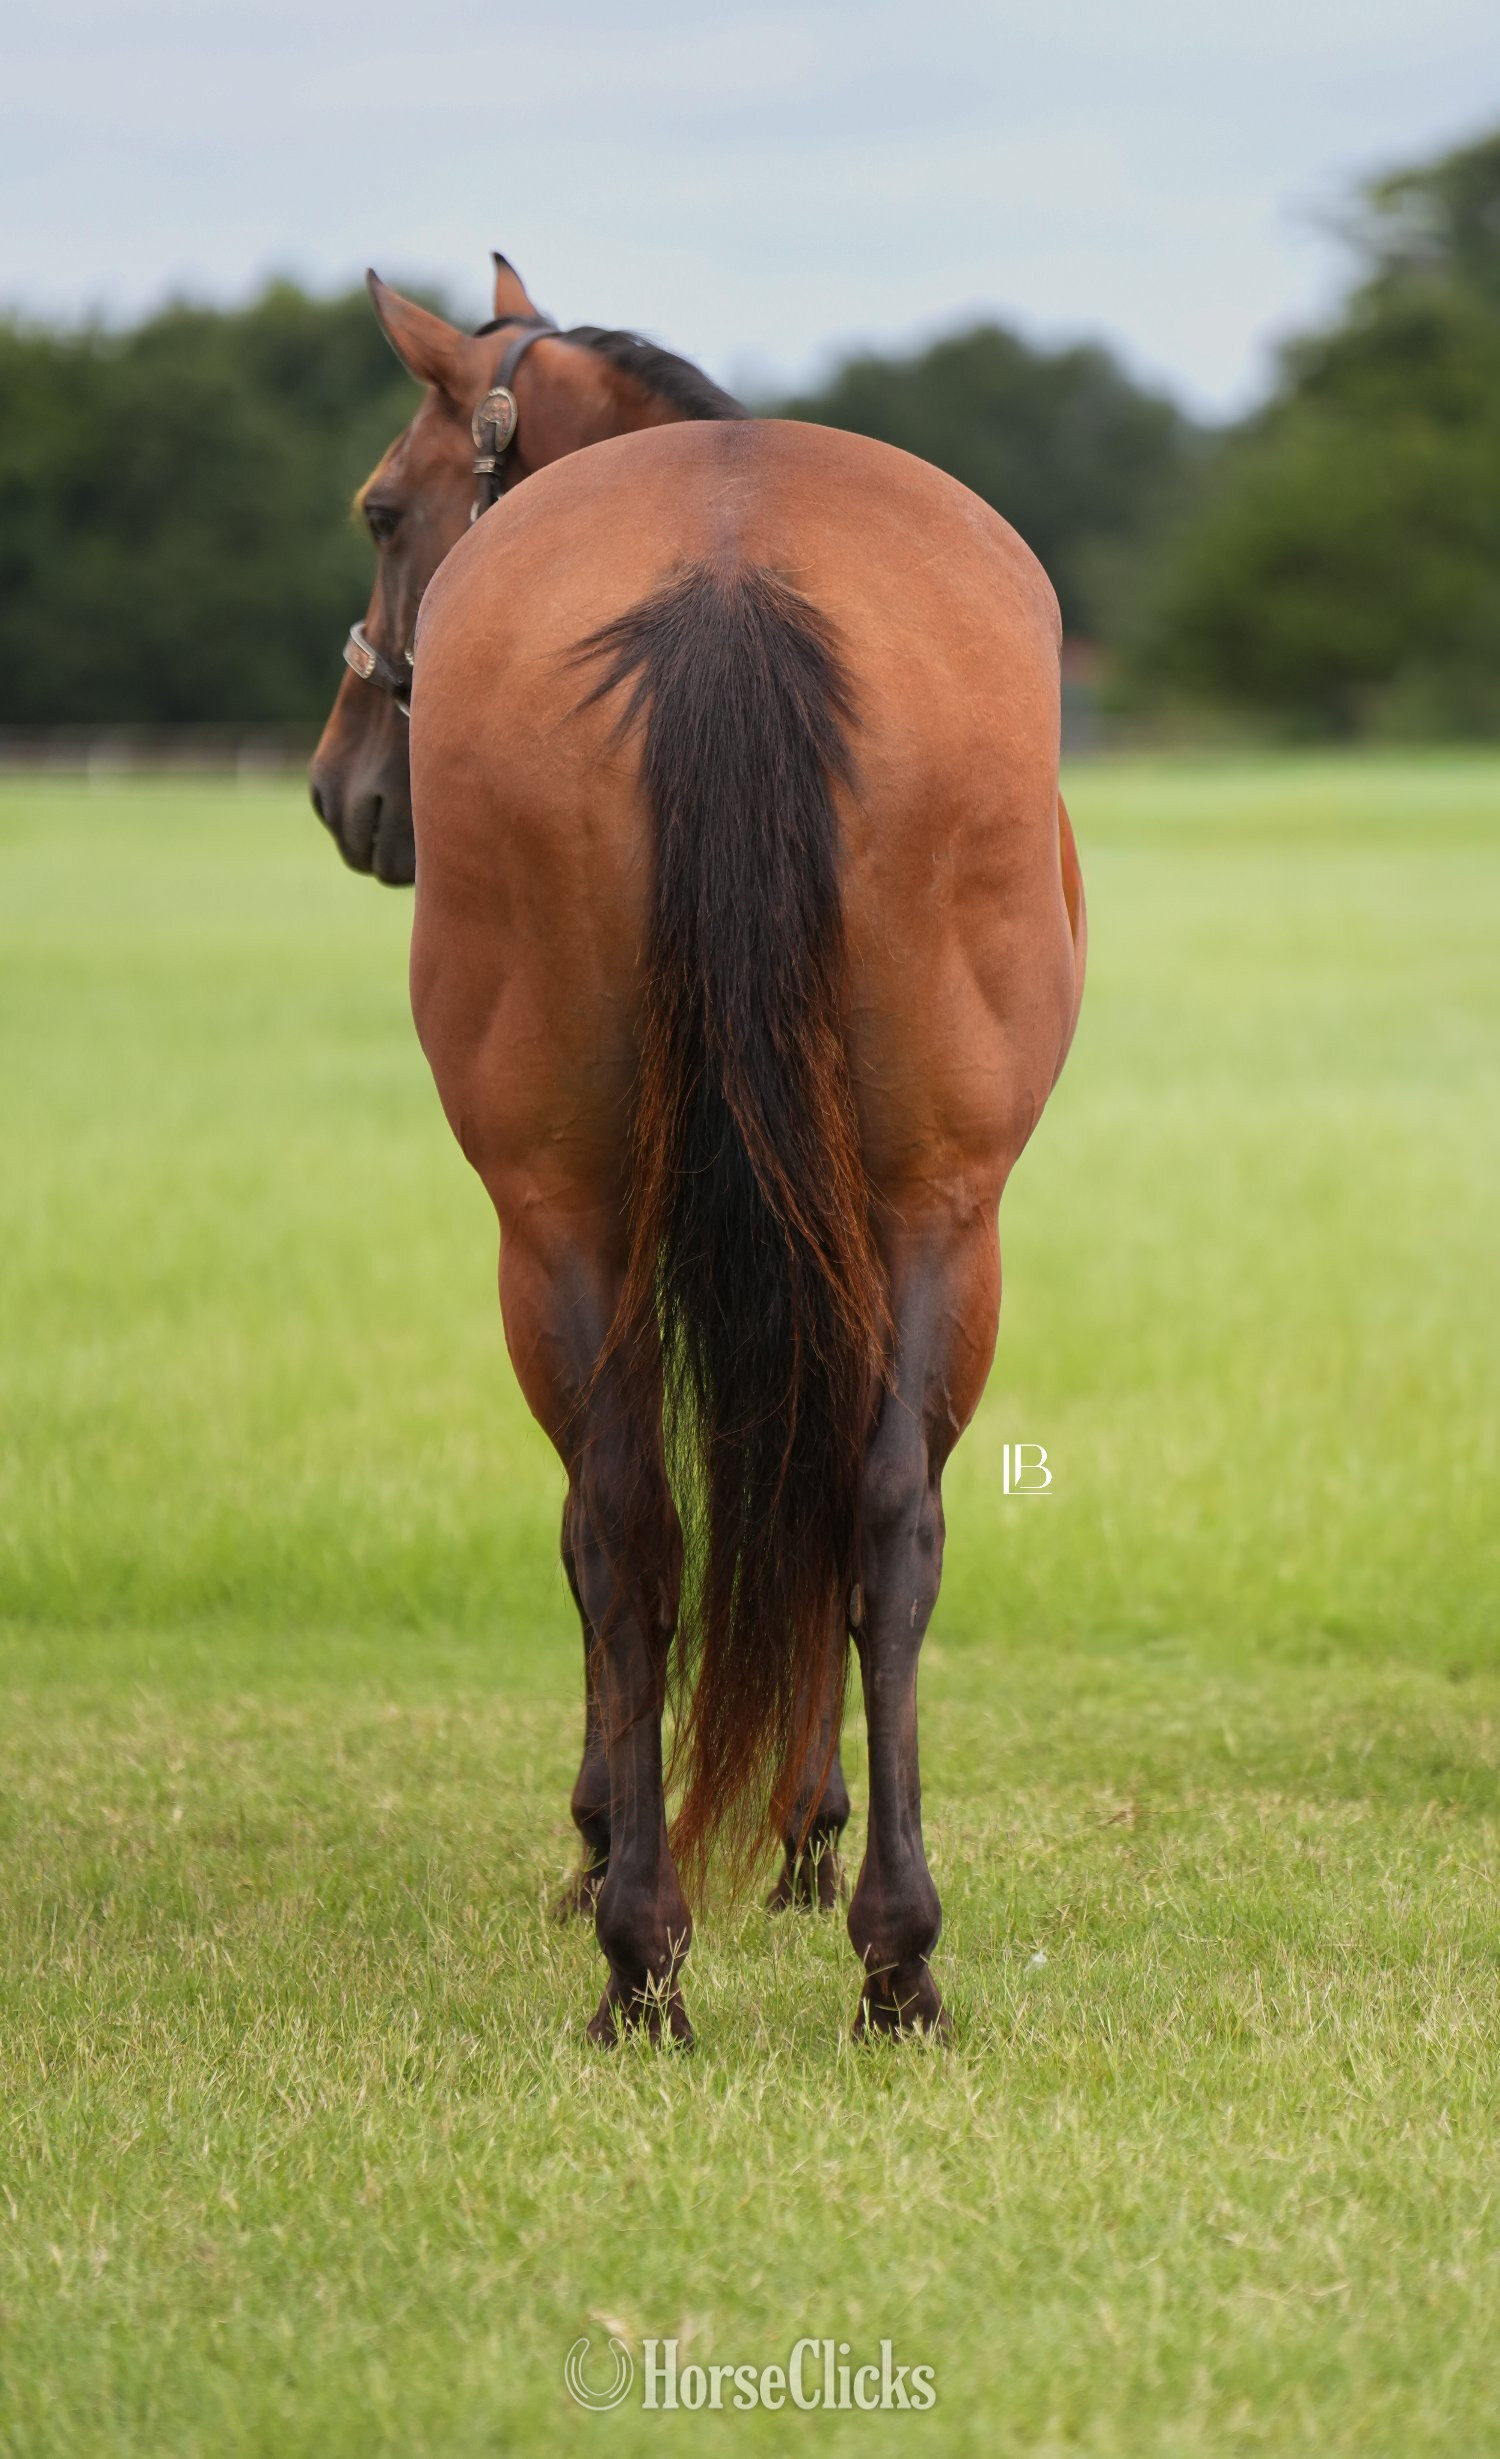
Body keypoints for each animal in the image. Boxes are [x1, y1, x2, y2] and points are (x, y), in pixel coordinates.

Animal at [311, 256, 1087, 2043]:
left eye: (383, 507)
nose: (341, 787)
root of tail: (730, 577)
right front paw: (780, 1833)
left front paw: (673, 1830)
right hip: (929, 1212)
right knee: (849, 1514)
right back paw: (860, 1953)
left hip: (576, 1221)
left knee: (645, 1520)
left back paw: (665, 1938)